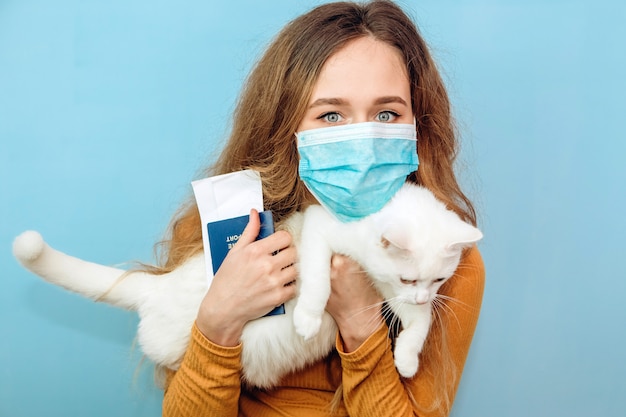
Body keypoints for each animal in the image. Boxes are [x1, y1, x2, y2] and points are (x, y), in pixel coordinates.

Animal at [13, 182, 482, 386]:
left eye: (438, 279)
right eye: (410, 276)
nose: (423, 294)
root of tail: (160, 287)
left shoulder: (389, 293)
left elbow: (419, 325)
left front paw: (406, 359)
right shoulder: (321, 231)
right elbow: (317, 280)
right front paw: (308, 318)